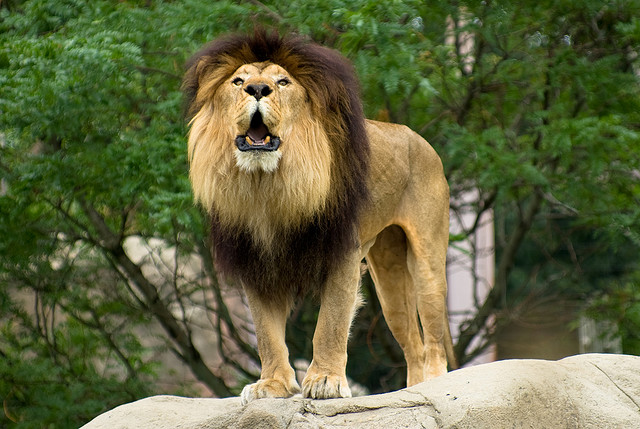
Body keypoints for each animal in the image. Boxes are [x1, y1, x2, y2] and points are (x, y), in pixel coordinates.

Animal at [183, 30, 453, 403]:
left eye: (282, 82)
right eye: (238, 81)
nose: (257, 89)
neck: (267, 185)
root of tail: (419, 138)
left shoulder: (342, 254)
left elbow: (331, 323)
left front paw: (326, 381)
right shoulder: (255, 262)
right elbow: (267, 334)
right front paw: (272, 385)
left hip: (427, 261)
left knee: (433, 338)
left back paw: (434, 385)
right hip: (389, 276)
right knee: (412, 343)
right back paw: (412, 392)